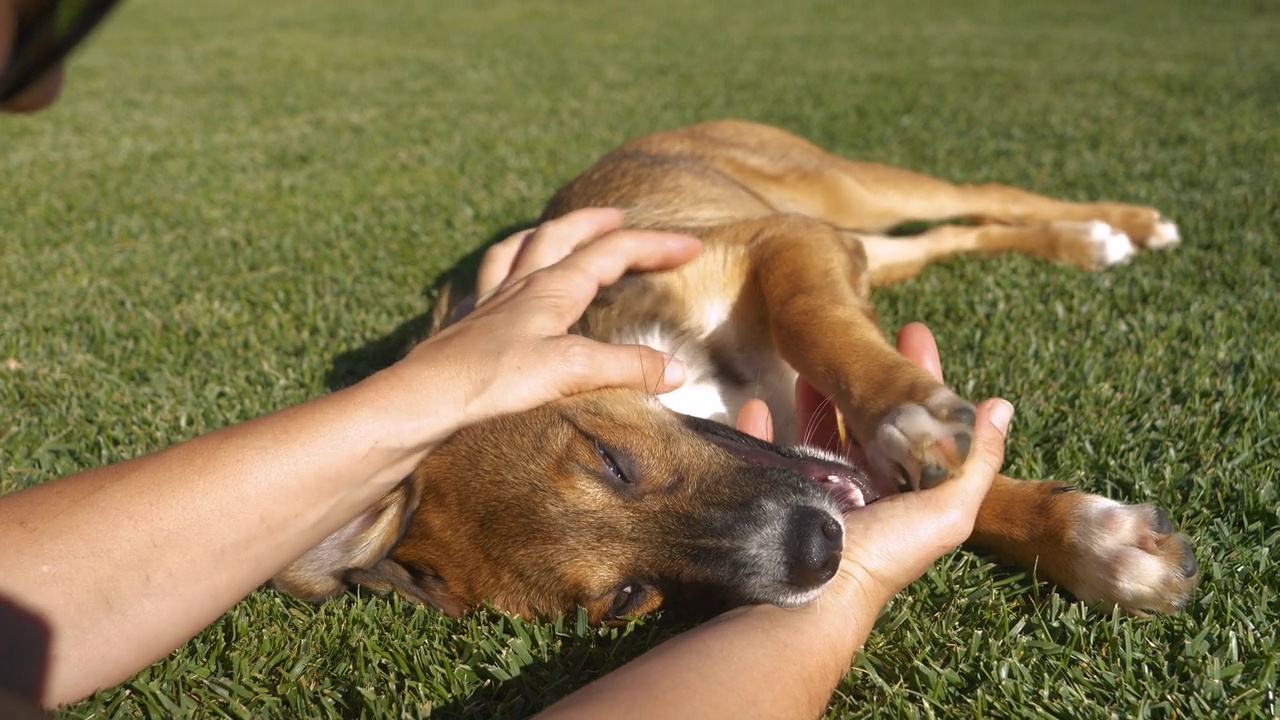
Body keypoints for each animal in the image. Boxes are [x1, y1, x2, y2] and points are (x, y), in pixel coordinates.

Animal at [272, 119, 1198, 622]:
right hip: (862, 237)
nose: (815, 551)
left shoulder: (776, 244)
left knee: (985, 193)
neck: (710, 386)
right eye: (628, 597)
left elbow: (810, 316)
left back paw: (1119, 223)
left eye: (609, 458)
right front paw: (1099, 543)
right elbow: (963, 497)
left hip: (841, 193)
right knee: (952, 235)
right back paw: (1087, 242)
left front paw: (908, 412)